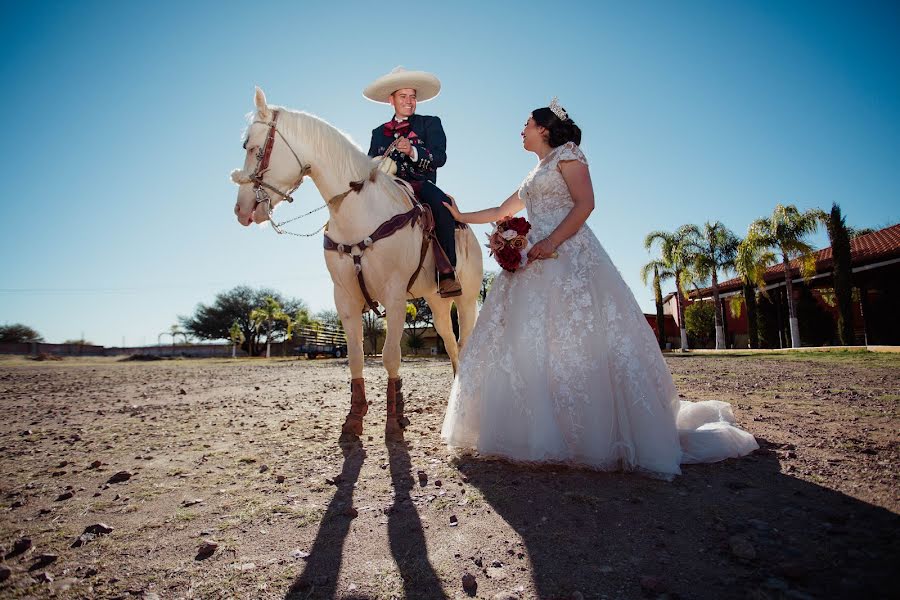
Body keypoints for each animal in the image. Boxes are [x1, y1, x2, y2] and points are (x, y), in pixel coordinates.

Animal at [236, 88, 482, 440]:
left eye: (252, 147)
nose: (241, 210)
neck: (359, 211)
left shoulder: (394, 296)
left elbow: (391, 357)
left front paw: (395, 420)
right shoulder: (345, 298)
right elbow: (355, 358)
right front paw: (354, 418)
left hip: (467, 298)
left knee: (464, 341)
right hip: (436, 301)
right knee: (450, 342)